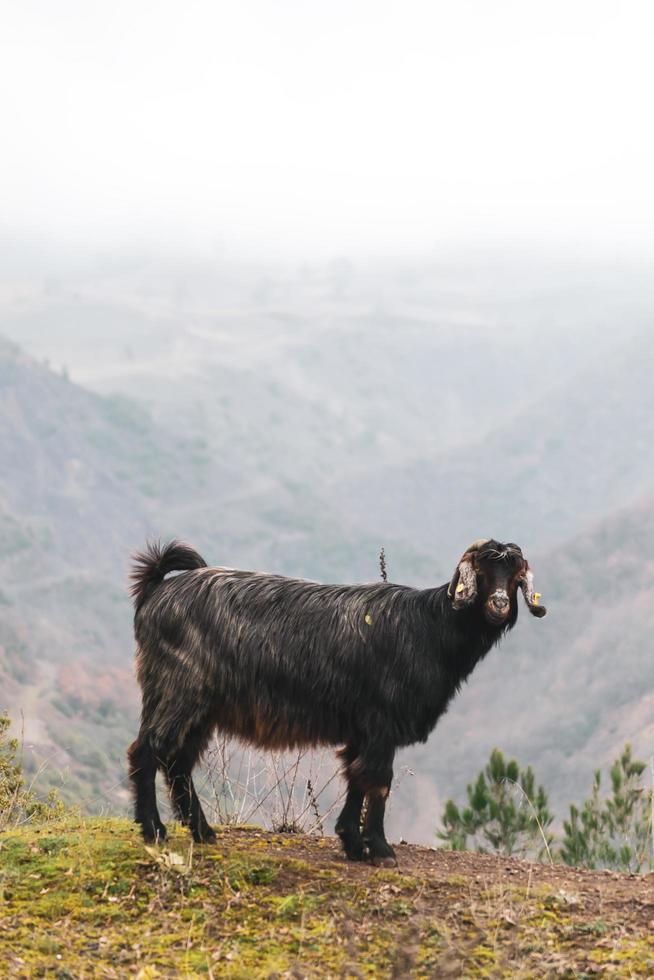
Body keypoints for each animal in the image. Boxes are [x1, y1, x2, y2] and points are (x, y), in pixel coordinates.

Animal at [125, 536, 544, 864]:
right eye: (483, 572)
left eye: (515, 575)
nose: (499, 605)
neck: (429, 628)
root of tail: (157, 590)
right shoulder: (381, 722)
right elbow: (378, 780)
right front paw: (380, 850)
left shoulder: (363, 727)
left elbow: (356, 776)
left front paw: (352, 843)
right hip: (178, 690)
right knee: (148, 750)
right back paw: (154, 830)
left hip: (201, 707)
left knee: (178, 761)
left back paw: (202, 831)